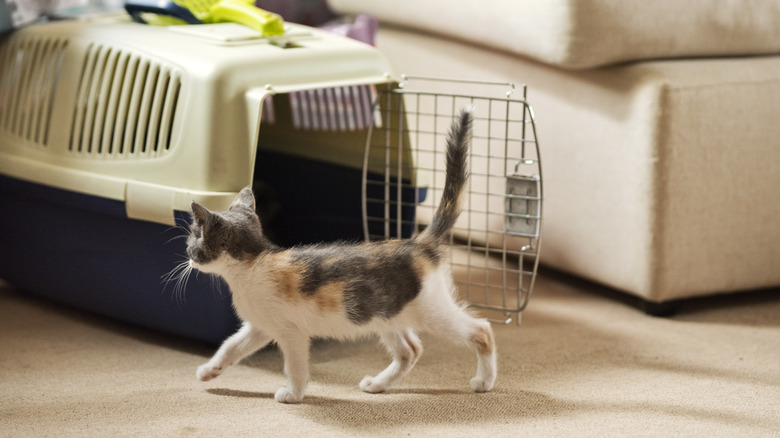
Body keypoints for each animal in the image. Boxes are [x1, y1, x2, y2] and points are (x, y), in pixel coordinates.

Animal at [186, 107, 496, 404]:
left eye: (190, 239)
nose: (187, 256)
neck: (252, 265)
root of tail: (419, 243)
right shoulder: (260, 326)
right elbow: (231, 346)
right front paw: (209, 370)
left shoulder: (291, 331)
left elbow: (295, 365)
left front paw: (293, 394)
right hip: (385, 312)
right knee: (411, 349)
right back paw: (378, 384)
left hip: (430, 309)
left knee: (481, 330)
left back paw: (485, 381)